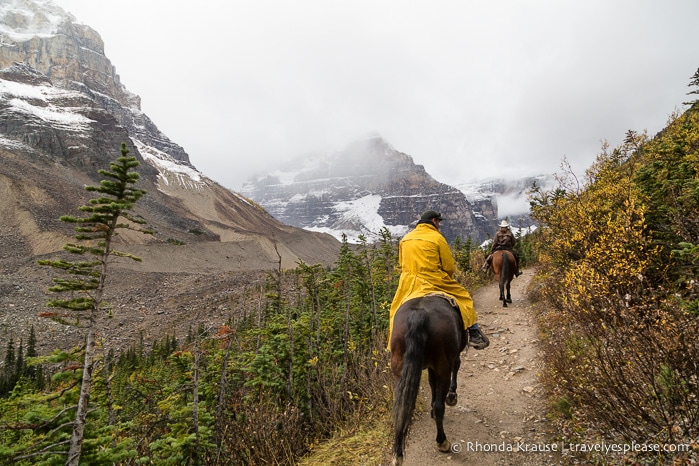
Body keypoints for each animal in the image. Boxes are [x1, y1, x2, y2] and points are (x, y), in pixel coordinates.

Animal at [392, 296, 468, 464]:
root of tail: (418, 314)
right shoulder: (451, 358)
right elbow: (455, 366)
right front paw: (451, 396)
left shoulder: (432, 367)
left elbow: (432, 383)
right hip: (443, 367)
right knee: (441, 406)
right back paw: (442, 441)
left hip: (399, 369)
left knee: (399, 407)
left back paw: (397, 454)